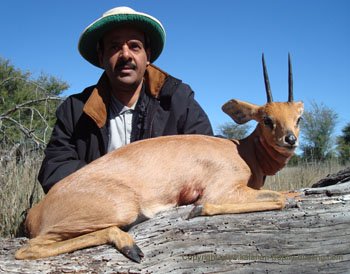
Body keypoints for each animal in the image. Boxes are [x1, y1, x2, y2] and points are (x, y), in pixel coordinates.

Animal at [15, 54, 304, 262]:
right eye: (267, 119)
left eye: (298, 118)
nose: (290, 140)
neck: (242, 151)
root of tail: (36, 212)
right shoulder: (221, 190)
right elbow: (276, 200)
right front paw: (199, 209)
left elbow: (283, 194)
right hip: (119, 210)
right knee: (26, 249)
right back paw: (130, 246)